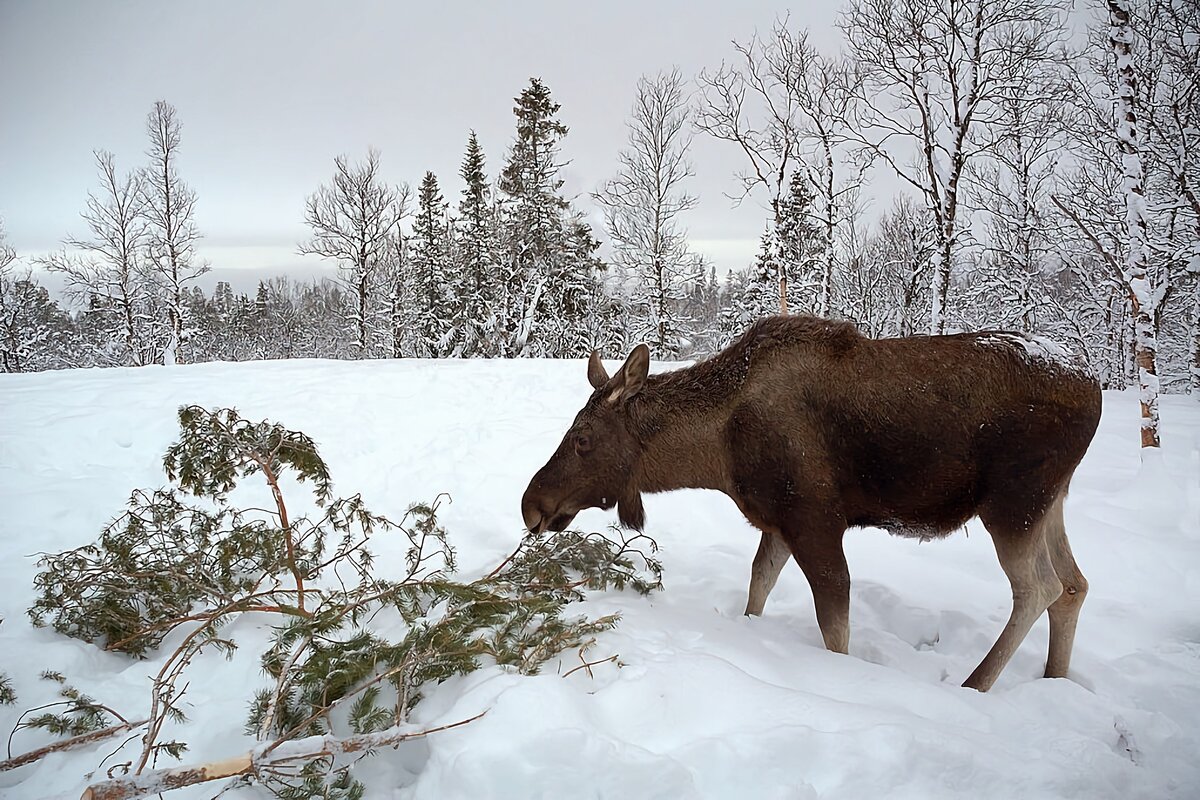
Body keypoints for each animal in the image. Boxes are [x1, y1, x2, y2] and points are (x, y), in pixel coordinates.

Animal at [520, 316, 1099, 690]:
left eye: (582, 438)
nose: (531, 504)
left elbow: (834, 622)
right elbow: (759, 584)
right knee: (1074, 584)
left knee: (1039, 587)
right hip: (1051, 500)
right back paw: (1056, 682)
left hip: (1013, 501)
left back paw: (976, 683)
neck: (717, 452)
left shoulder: (815, 520)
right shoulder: (777, 521)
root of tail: (1094, 386)